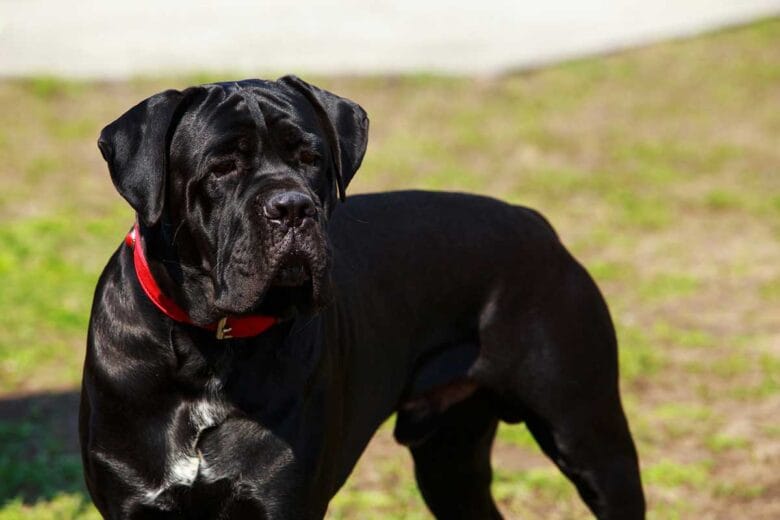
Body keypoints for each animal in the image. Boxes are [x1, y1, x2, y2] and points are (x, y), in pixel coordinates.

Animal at [79, 75, 644, 516]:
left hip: (588, 437)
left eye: (310, 158)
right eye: (221, 167)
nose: (292, 207)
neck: (208, 348)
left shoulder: (283, 502)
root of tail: (537, 224)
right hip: (449, 460)